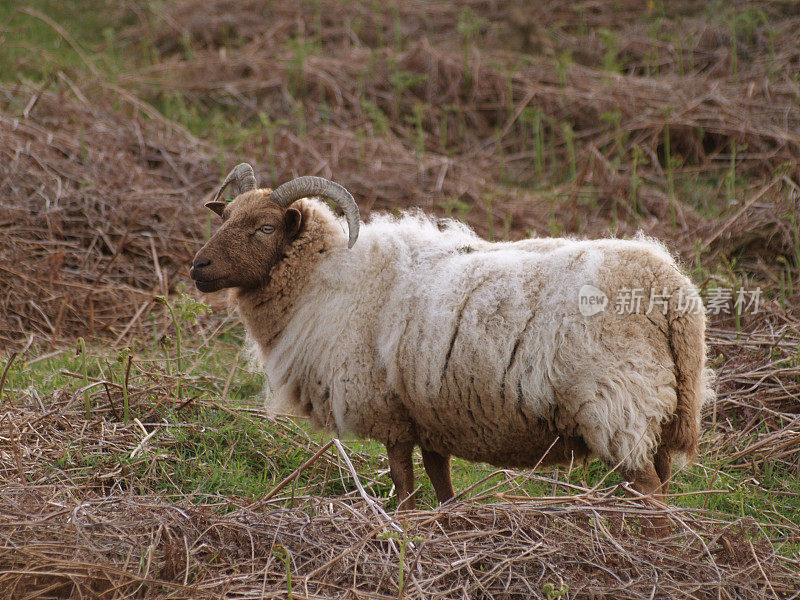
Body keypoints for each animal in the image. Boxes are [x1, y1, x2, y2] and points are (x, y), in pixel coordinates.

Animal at [192, 162, 712, 512]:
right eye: (224, 218)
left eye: (264, 228)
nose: (198, 267)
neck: (326, 276)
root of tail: (673, 293)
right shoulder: (430, 416)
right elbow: (441, 485)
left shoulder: (389, 410)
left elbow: (405, 486)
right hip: (661, 410)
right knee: (661, 484)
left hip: (619, 404)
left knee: (649, 492)